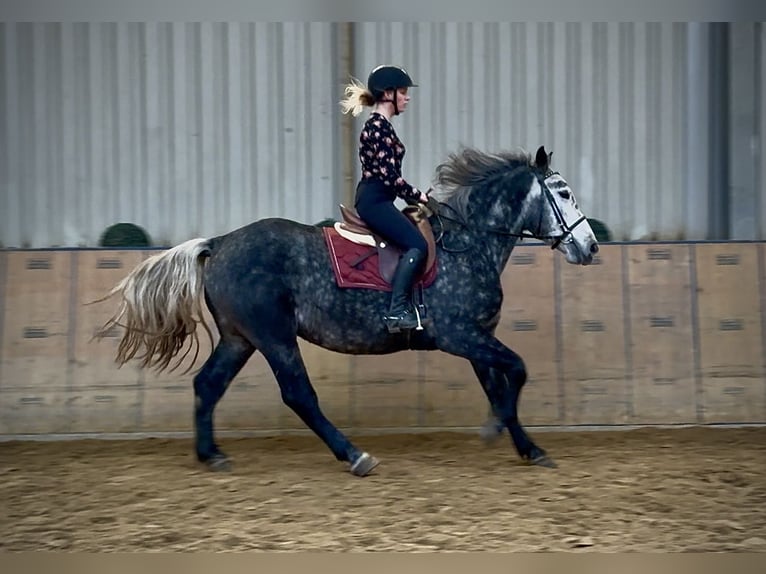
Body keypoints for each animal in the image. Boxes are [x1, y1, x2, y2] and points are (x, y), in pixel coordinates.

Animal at [95, 145, 599, 477]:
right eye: (563, 192)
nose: (590, 247)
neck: (469, 242)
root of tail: (218, 244)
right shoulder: (461, 336)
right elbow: (519, 369)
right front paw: (504, 432)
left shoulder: (476, 338)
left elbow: (501, 386)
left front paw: (524, 444)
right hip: (274, 336)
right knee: (298, 394)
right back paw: (354, 456)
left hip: (240, 338)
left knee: (208, 384)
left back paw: (211, 454)